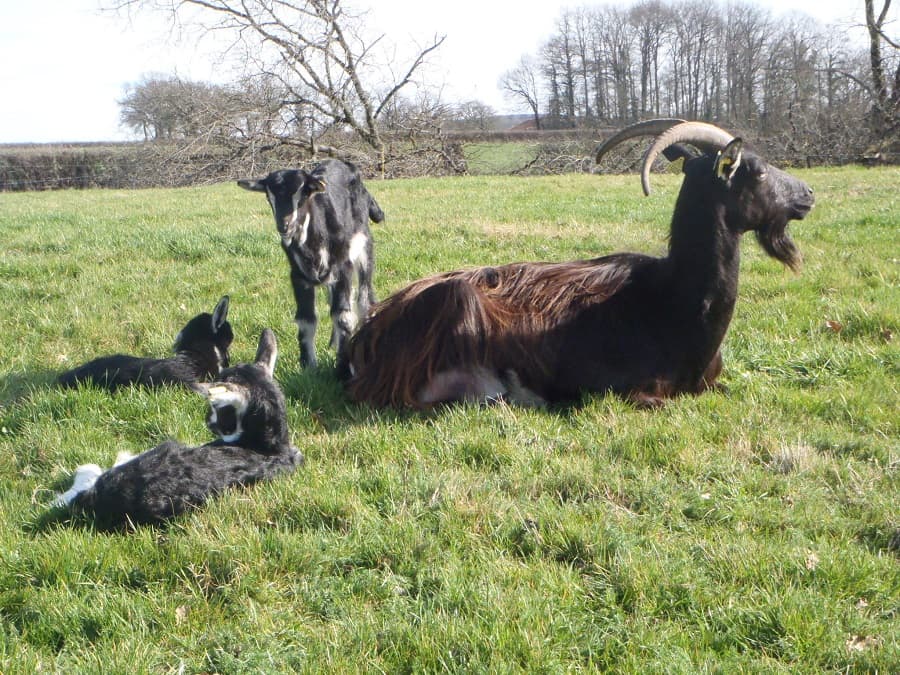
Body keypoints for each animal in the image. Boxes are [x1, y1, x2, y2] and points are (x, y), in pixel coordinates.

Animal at [238, 159, 384, 369]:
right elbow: (306, 319)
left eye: (303, 193)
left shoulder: (343, 267)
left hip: (364, 245)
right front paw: (308, 365)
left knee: (364, 297)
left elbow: (343, 316)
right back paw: (333, 343)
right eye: (268, 196)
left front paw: (342, 362)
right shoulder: (298, 276)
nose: (284, 225)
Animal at [341, 120, 814, 409]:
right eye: (756, 170)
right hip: (455, 302)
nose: (807, 194)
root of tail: (365, 338)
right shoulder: (630, 391)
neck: (671, 300)